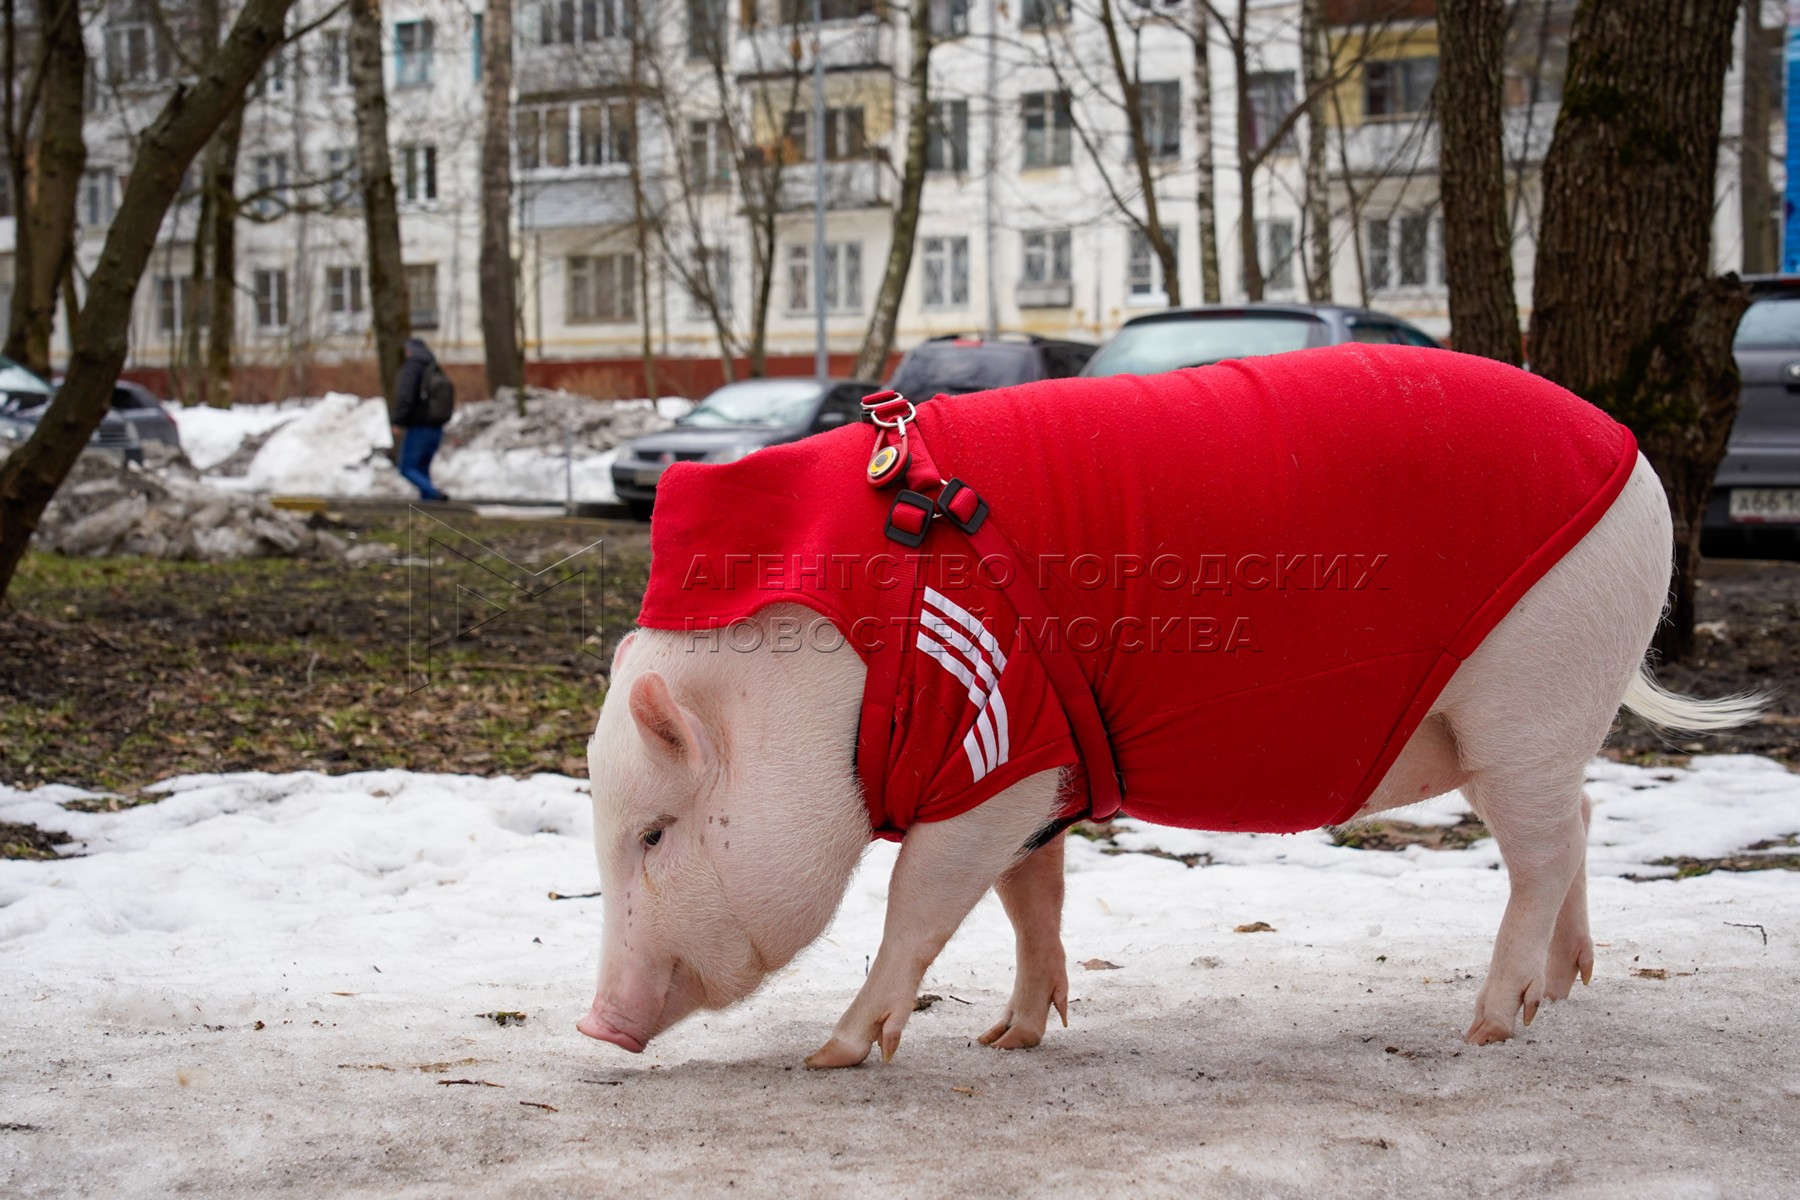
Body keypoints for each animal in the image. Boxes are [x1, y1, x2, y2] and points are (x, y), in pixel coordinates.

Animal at [579, 349, 1756, 1072]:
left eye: (655, 832)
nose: (594, 1024)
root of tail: (1638, 467)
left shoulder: (992, 756)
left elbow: (919, 908)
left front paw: (831, 1053)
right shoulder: (1042, 769)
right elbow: (1032, 901)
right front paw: (1009, 1039)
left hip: (1528, 706)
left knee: (1542, 854)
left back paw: (1487, 1027)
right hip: (1536, 732)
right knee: (1583, 825)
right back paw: (1562, 993)